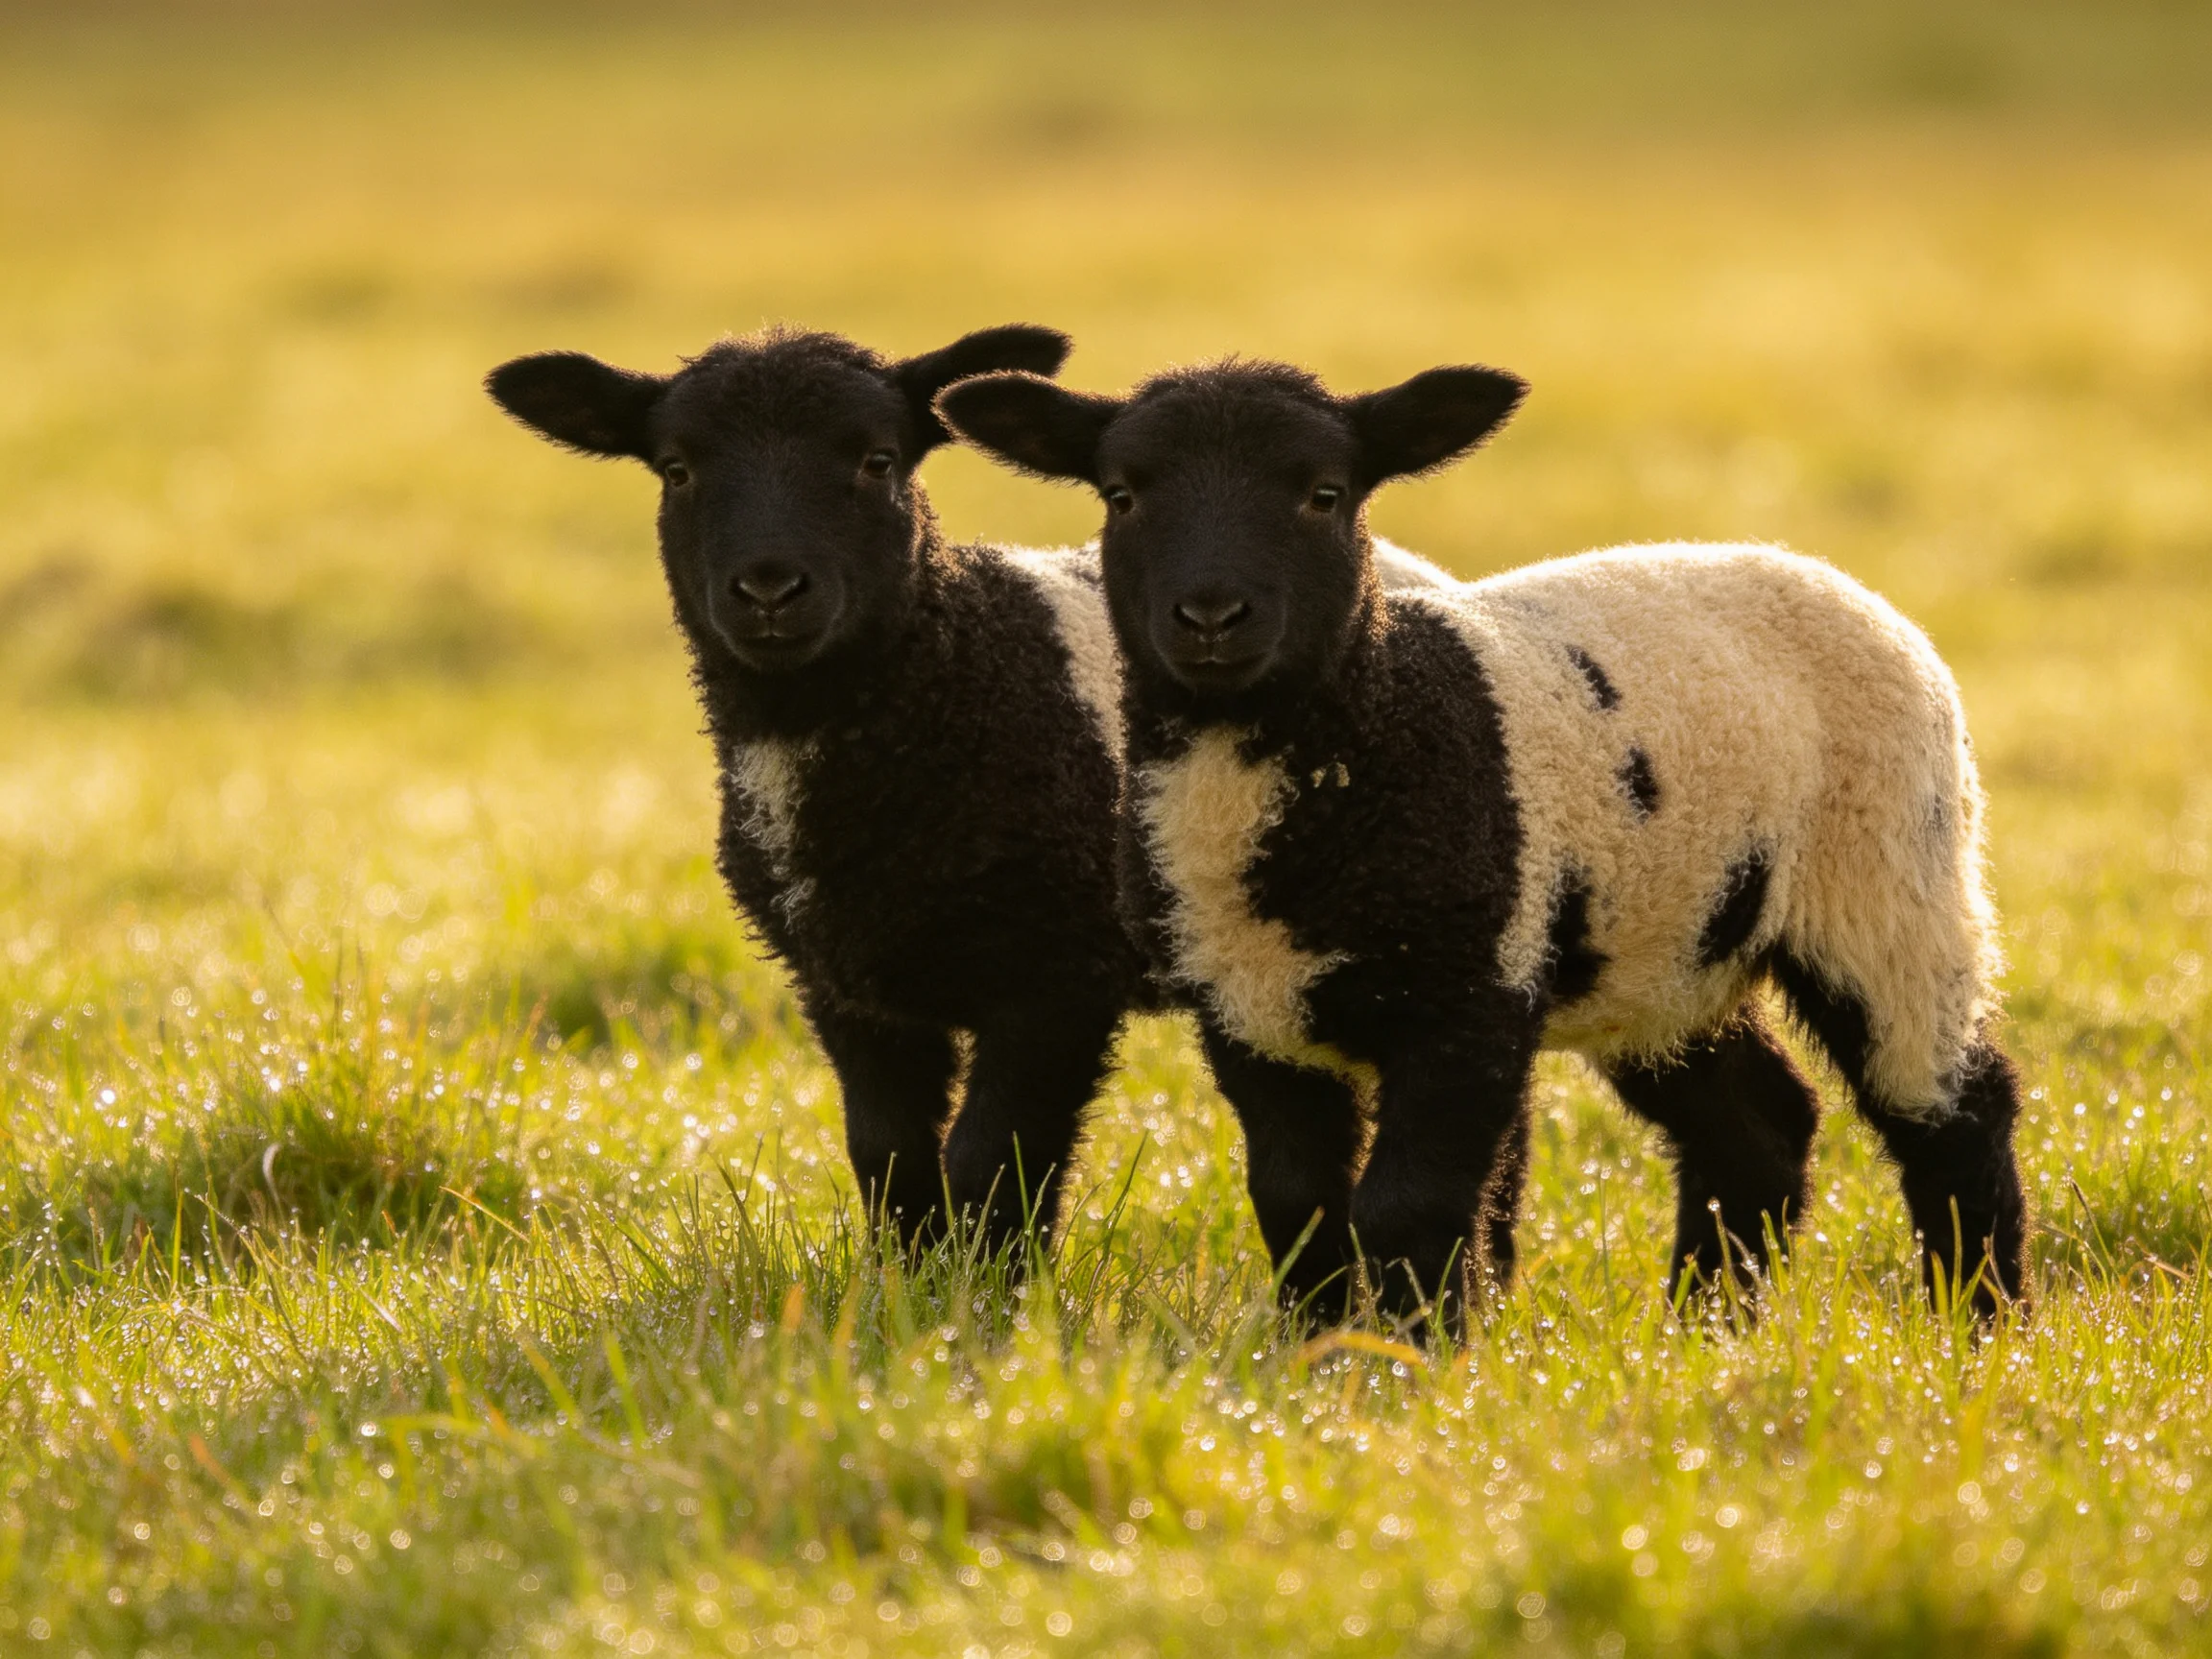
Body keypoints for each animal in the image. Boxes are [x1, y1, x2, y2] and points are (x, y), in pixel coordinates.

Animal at [485, 324, 1152, 1254]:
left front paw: (988, 1286)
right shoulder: (848, 988)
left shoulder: (1062, 974)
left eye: (878, 460)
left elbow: (991, 1159)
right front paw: (913, 1278)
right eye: (676, 469)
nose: (770, 588)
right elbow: (888, 1154)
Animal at [939, 358, 2028, 1326]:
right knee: (1756, 1126)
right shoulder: (1244, 1010)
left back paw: (1979, 1328)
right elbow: (1297, 1202)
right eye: (1121, 496)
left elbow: (1406, 1209)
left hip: (1891, 883)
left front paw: (1417, 1364)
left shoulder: (1472, 995)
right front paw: (1320, 1358)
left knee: (1954, 1112)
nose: (1211, 617)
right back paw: (1706, 1331)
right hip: (1670, 947)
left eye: (1325, 495)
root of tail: (1812, 567)